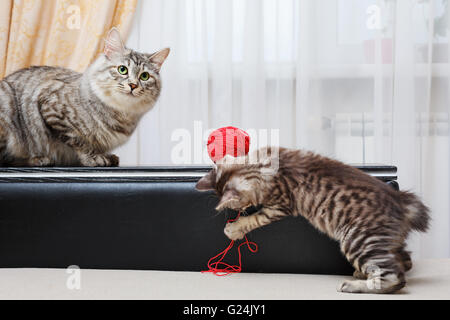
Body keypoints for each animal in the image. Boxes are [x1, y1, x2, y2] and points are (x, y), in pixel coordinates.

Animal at [0, 27, 169, 166]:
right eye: (122, 69)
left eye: (144, 76)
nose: (133, 85)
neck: (121, 114)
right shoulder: (52, 106)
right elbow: (79, 141)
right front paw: (93, 158)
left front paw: (107, 156)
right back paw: (38, 159)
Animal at [196, 147, 428, 292]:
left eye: (237, 207)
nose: (242, 209)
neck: (263, 165)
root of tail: (400, 200)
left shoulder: (280, 206)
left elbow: (255, 219)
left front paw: (234, 228)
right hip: (380, 241)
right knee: (403, 261)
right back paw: (363, 274)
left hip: (357, 239)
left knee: (395, 278)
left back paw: (353, 285)